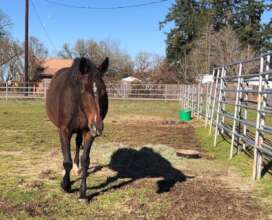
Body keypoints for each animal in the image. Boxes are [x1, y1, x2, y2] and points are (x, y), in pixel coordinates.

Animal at [45, 56, 108, 201]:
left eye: (103, 90)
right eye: (84, 90)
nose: (98, 127)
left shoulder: (88, 132)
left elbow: (85, 161)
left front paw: (83, 194)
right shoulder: (64, 131)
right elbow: (66, 160)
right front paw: (66, 185)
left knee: (78, 144)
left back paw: (76, 167)